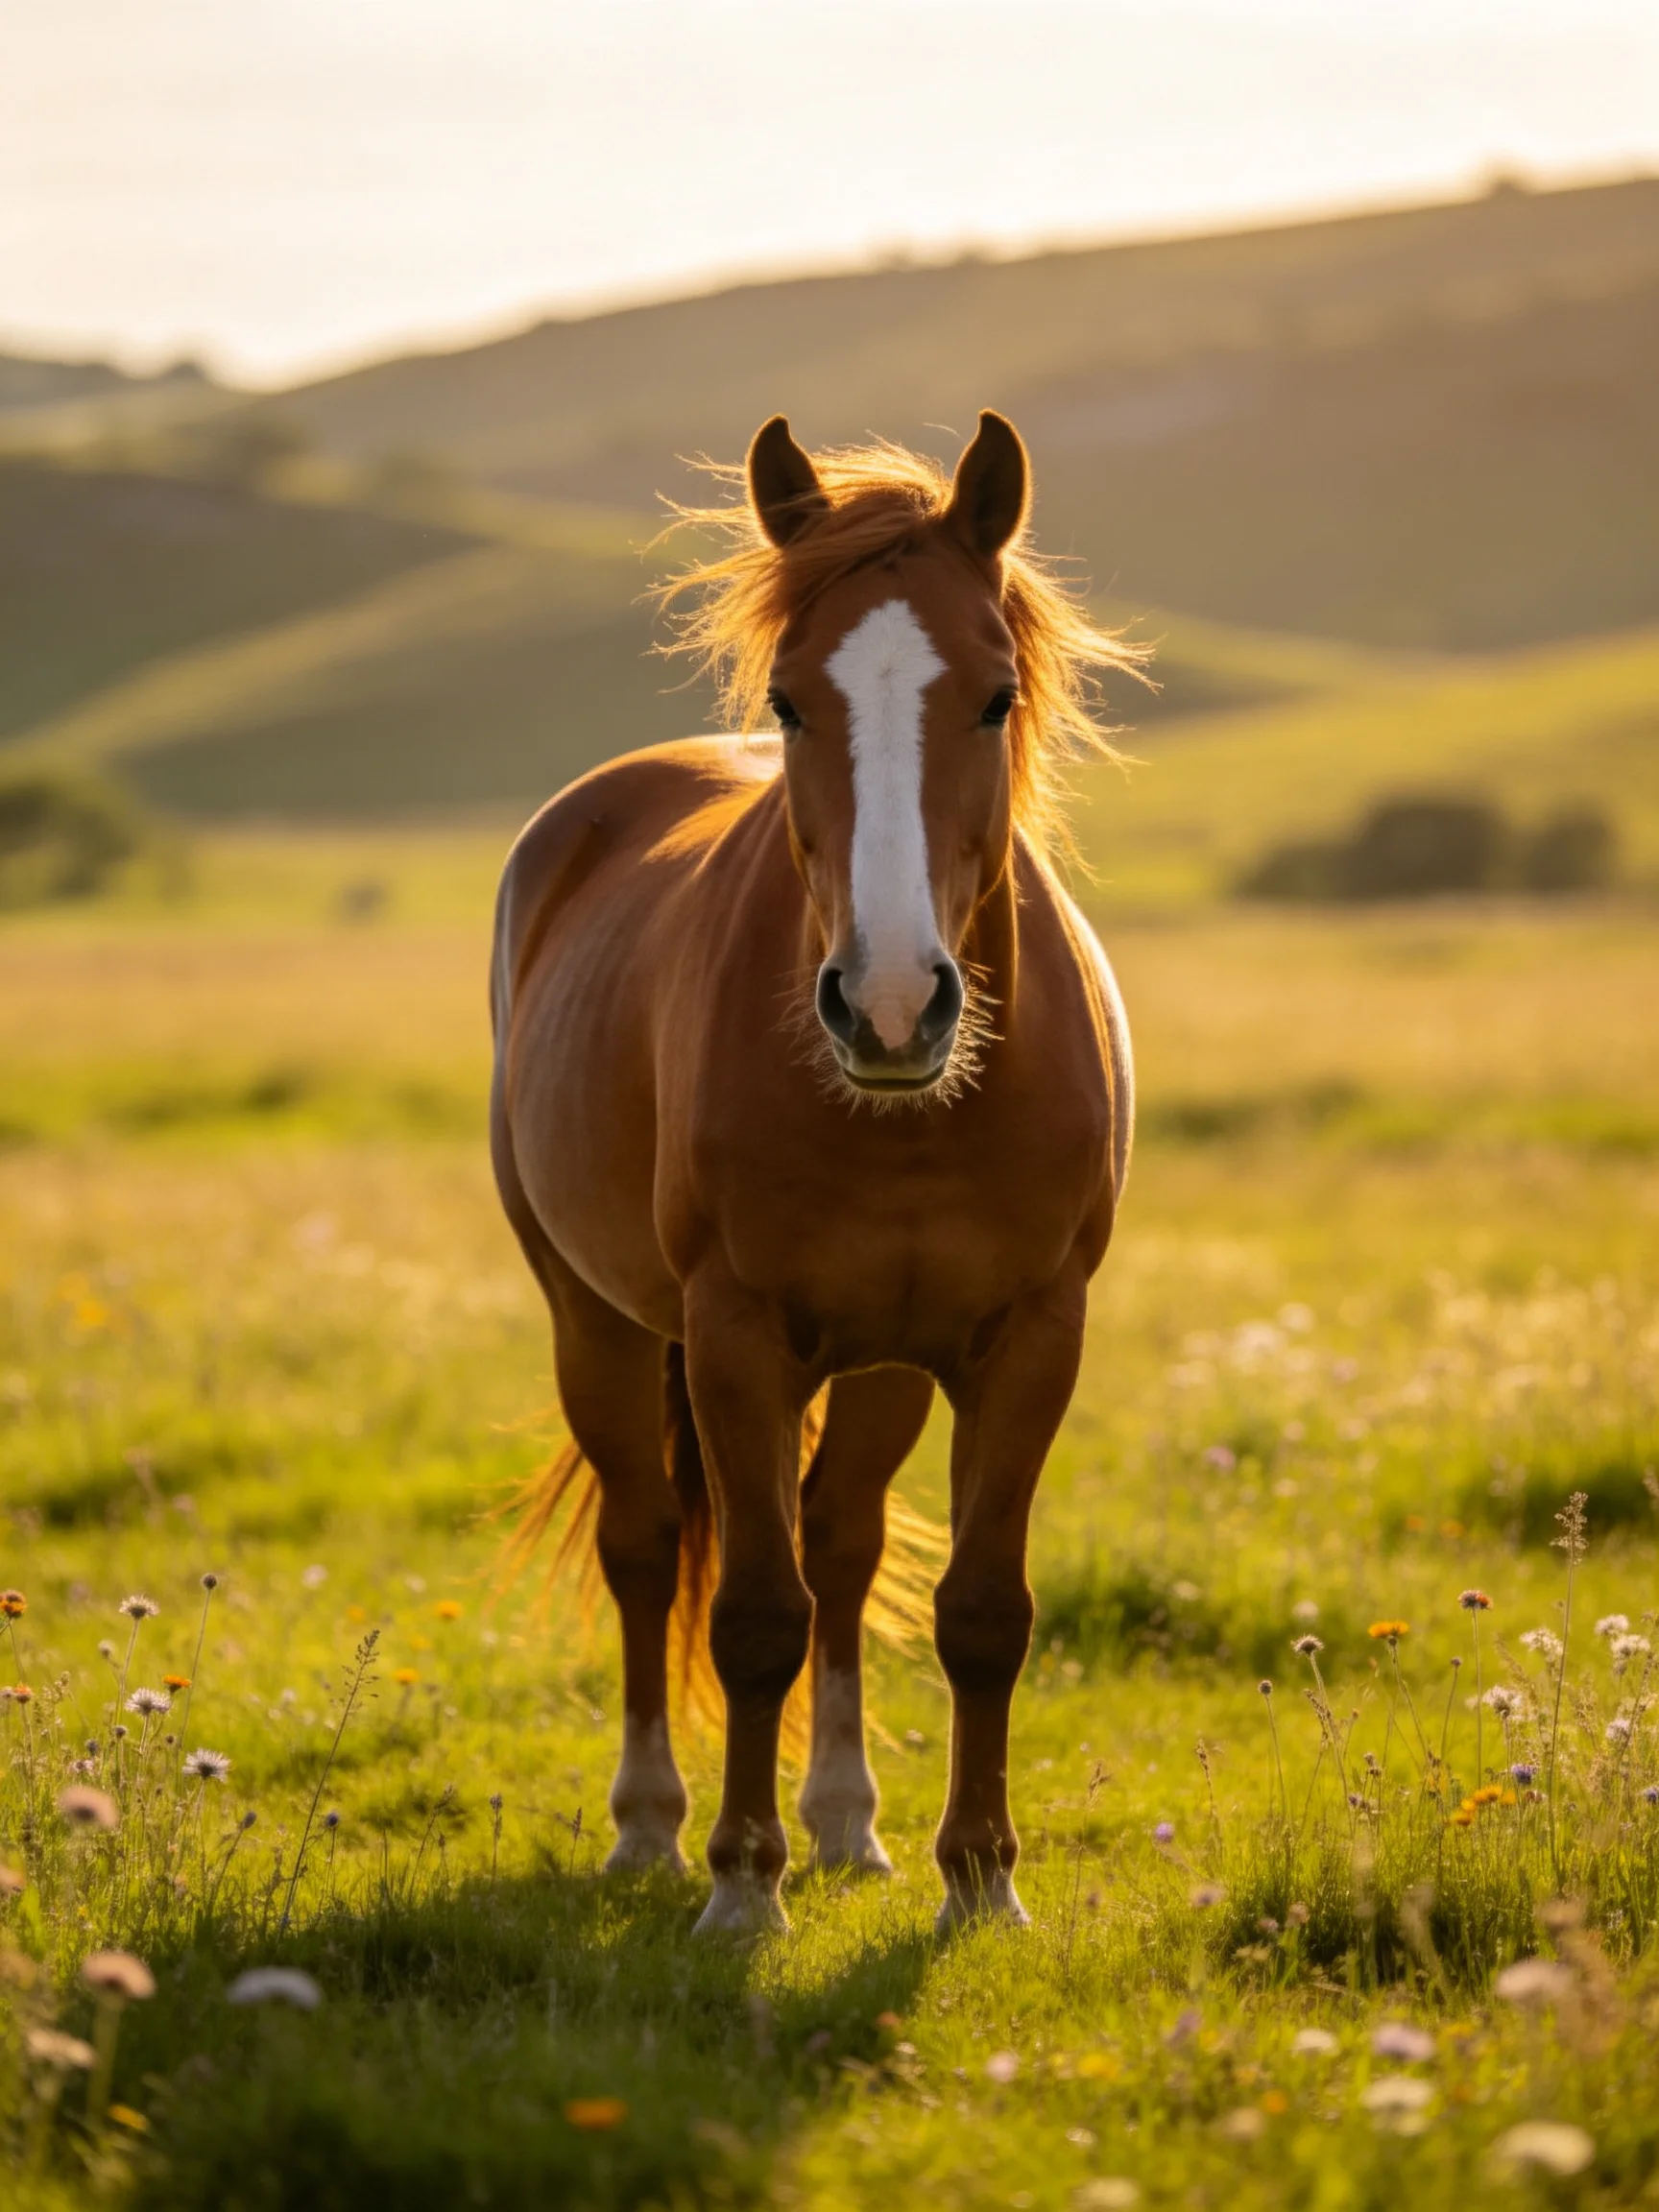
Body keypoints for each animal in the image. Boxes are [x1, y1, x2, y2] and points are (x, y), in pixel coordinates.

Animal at [490, 410, 1139, 1934]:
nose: (892, 1007)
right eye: (790, 701)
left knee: (842, 1539)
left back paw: (849, 1823)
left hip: (888, 1360)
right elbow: (751, 1615)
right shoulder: (734, 1337)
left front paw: (981, 1881)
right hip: (596, 1323)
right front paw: (741, 1886)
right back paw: (650, 1830)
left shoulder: (1032, 1337)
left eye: (995, 696)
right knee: (648, 1545)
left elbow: (980, 1609)